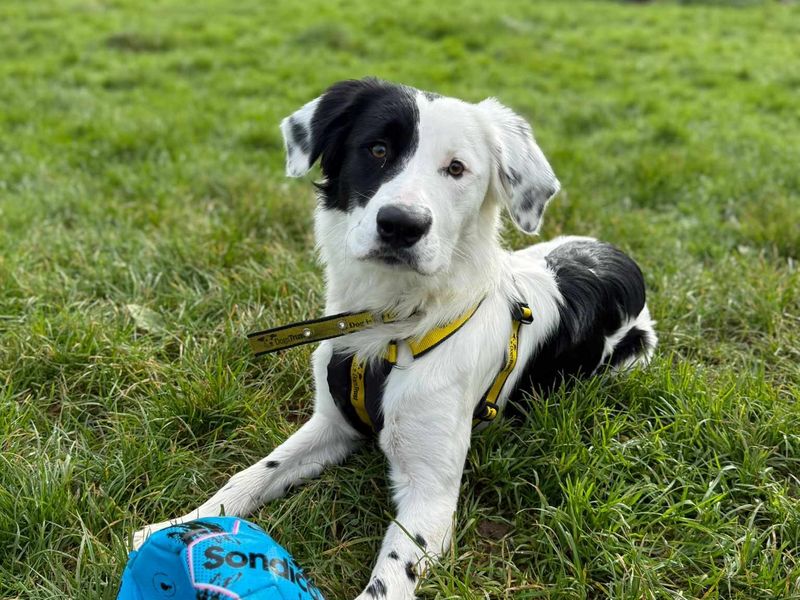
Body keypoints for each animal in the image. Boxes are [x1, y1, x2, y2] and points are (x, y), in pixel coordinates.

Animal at [136, 77, 656, 596]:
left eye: (456, 168)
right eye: (378, 149)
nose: (401, 225)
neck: (391, 326)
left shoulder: (431, 494)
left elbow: (388, 579)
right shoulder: (332, 422)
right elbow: (254, 473)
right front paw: (177, 523)